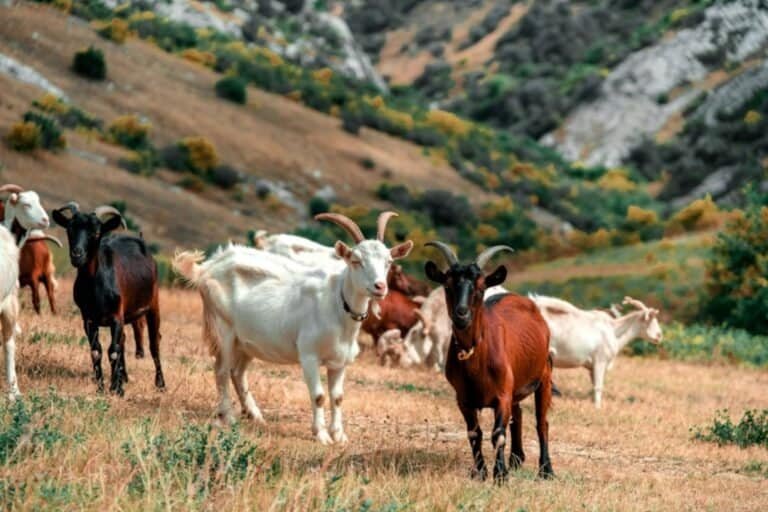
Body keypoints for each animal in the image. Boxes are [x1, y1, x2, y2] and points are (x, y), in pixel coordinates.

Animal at [52, 203, 165, 396]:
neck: (96, 288)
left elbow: (113, 350)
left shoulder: (116, 317)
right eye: (69, 229)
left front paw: (116, 389)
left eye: (96, 232)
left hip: (153, 304)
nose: (77, 255)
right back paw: (123, 377)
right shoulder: (88, 319)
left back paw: (160, 384)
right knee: (124, 340)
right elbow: (96, 350)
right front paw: (102, 387)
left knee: (154, 342)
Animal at [173, 212, 412, 444]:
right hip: (223, 329)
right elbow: (319, 396)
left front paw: (339, 435)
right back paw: (228, 416)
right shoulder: (309, 356)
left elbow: (337, 398)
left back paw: (255, 414)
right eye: (356, 260)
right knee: (221, 370)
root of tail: (208, 267)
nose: (380, 287)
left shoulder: (339, 362)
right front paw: (322, 435)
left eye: (388, 261)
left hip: (247, 341)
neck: (338, 304)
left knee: (237, 372)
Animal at [426, 242, 554, 481]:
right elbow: (474, 433)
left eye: (480, 288)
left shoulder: (502, 394)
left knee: (542, 422)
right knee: (518, 414)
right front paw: (481, 472)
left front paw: (500, 474)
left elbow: (498, 434)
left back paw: (546, 470)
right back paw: (517, 458)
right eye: (448, 286)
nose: (461, 314)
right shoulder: (463, 399)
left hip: (544, 376)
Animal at [530, 294, 662, 408]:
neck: (614, 330)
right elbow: (598, 386)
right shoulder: (600, 360)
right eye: (649, 320)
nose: (659, 336)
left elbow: (594, 385)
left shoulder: (591, 367)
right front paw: (598, 408)